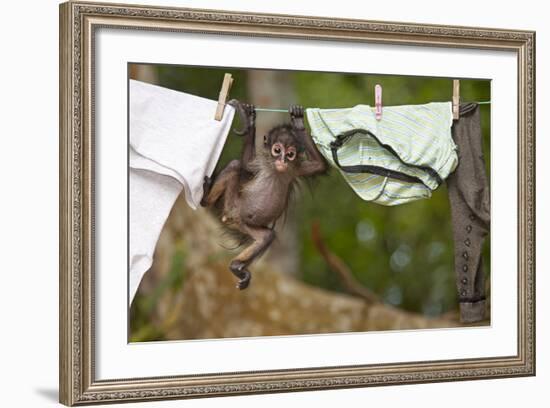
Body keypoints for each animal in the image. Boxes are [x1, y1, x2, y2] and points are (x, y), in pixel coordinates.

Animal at [201, 100, 328, 288]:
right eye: (277, 150)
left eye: (290, 154)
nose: (282, 161)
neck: (276, 170)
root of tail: (232, 217)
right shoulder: (261, 163)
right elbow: (246, 164)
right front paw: (249, 120)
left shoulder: (295, 169)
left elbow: (320, 165)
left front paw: (298, 122)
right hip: (232, 204)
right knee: (235, 165)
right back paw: (205, 199)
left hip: (246, 224)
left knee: (267, 236)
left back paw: (236, 266)